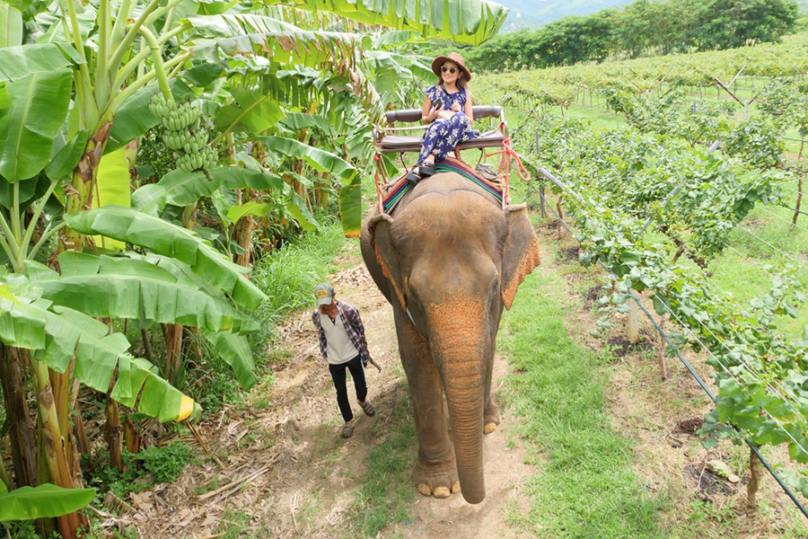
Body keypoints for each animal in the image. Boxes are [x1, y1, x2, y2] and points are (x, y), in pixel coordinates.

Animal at [362, 173, 540, 506]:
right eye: (415, 294)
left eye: (494, 284)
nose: (479, 498)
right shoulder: (396, 289)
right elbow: (416, 362)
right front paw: (439, 488)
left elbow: (489, 343)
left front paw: (488, 425)